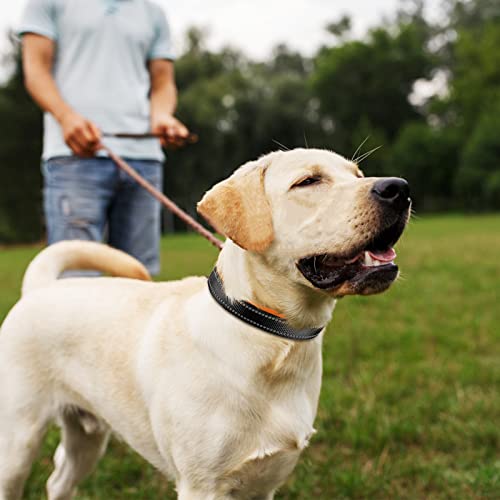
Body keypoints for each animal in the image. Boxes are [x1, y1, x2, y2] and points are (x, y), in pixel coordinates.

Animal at [0, 146, 410, 498]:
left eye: (357, 174)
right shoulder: (202, 486)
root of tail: (40, 287)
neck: (272, 337)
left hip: (87, 438)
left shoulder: (264, 484)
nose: (399, 189)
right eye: (308, 181)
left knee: (57, 482)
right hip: (17, 442)